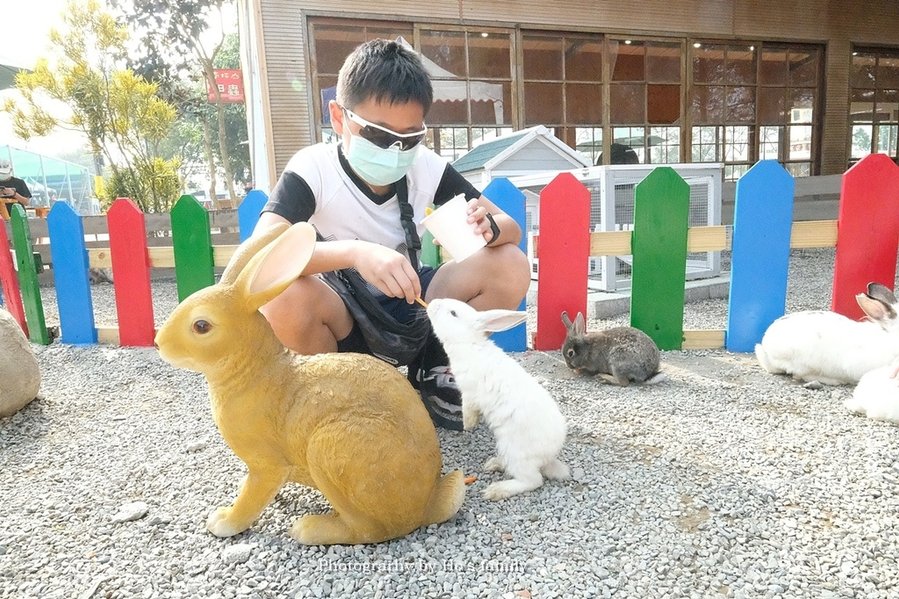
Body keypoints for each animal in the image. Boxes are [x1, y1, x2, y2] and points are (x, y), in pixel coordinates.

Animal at [424, 300, 568, 502]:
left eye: (453, 313)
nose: (432, 303)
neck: (468, 343)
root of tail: (549, 457)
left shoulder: (469, 392)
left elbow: (468, 408)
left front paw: (468, 424)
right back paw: (494, 464)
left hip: (516, 453)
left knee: (533, 481)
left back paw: (496, 490)